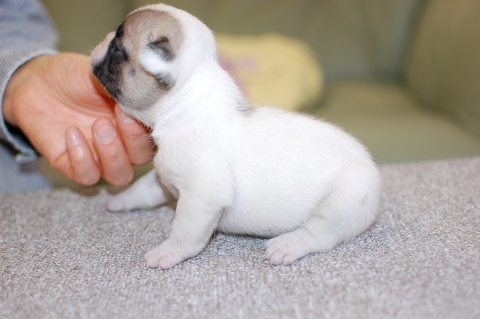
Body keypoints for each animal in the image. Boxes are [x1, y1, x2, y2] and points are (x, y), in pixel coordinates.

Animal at [92, 3, 380, 272]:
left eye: (117, 48)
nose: (104, 38)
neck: (185, 103)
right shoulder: (166, 176)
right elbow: (144, 188)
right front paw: (123, 199)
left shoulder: (201, 197)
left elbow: (185, 233)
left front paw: (168, 252)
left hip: (349, 195)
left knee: (321, 232)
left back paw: (289, 244)